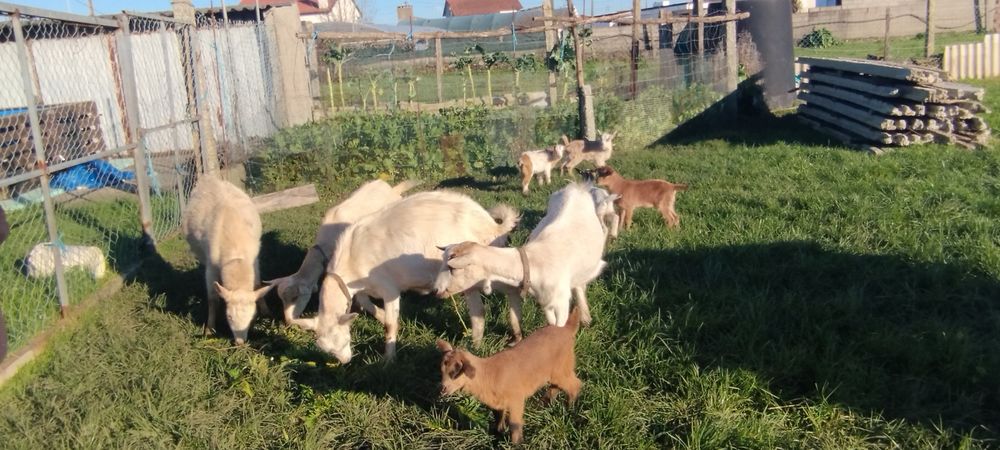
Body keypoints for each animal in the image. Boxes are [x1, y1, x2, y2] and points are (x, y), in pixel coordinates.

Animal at [183, 176, 273, 345]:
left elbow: (257, 284)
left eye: (253, 317)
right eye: (229, 316)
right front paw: (209, 329)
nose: (240, 343)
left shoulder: (254, 260)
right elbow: (212, 298)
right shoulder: (211, 266)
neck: (236, 257)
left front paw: (266, 311)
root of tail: (209, 178)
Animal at [313, 190, 519, 363]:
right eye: (327, 350)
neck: (351, 256)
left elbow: (389, 325)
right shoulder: (364, 286)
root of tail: (492, 225)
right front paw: (381, 316)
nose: (345, 362)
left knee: (484, 306)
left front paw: (388, 360)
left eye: (344, 340)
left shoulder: (388, 288)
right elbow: (364, 301)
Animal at [434, 183, 607, 334]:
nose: (436, 290)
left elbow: (558, 328)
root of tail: (575, 188)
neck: (534, 262)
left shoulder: (561, 303)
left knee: (581, 286)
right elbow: (550, 324)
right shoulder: (546, 302)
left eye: (452, 268)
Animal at [437, 306, 583, 444]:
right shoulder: (497, 402)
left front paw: (516, 443)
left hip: (563, 367)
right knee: (556, 386)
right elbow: (498, 418)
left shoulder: (516, 399)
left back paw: (569, 409)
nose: (442, 390)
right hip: (556, 371)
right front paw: (497, 435)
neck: (487, 375)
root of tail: (567, 328)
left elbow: (514, 424)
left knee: (574, 384)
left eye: (455, 372)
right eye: (442, 371)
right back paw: (544, 404)